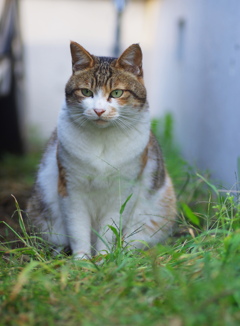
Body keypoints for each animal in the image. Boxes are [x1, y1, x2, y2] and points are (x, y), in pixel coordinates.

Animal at [27, 41, 176, 260]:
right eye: (86, 92)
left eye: (116, 93)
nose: (99, 110)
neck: (102, 140)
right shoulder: (71, 188)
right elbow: (78, 229)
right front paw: (82, 261)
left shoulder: (123, 191)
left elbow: (109, 230)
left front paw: (104, 259)